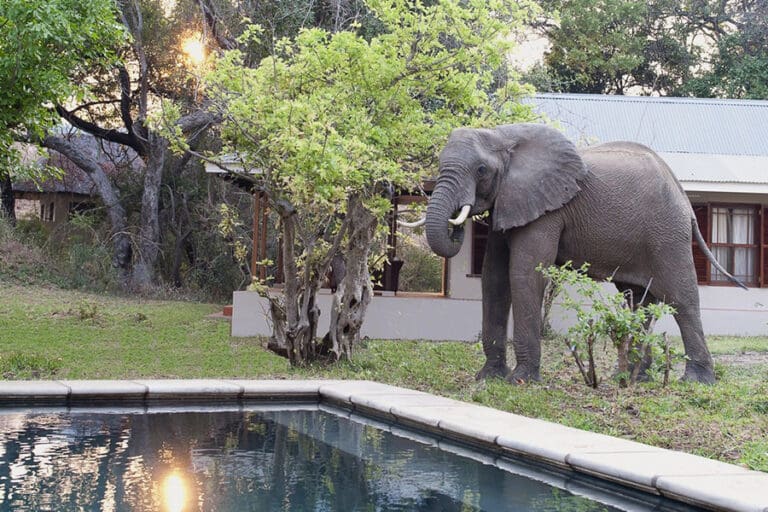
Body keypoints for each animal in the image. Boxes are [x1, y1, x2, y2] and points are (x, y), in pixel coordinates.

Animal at [419, 123, 745, 385]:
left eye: (481, 170)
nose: (457, 222)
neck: (503, 135)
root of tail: (685, 198)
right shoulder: (511, 200)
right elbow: (493, 278)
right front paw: (489, 378)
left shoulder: (546, 210)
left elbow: (524, 274)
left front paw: (521, 381)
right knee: (637, 300)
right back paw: (632, 379)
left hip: (667, 233)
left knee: (681, 298)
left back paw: (696, 382)